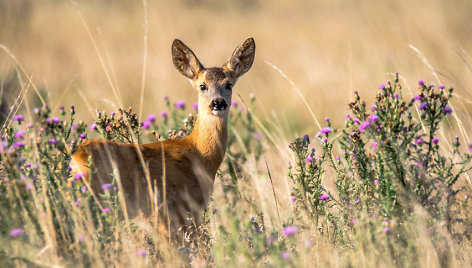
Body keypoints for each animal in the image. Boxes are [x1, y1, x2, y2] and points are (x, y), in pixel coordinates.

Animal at [71, 37, 254, 237]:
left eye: (229, 84)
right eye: (202, 86)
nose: (218, 103)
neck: (198, 154)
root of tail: (75, 159)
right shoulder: (179, 209)